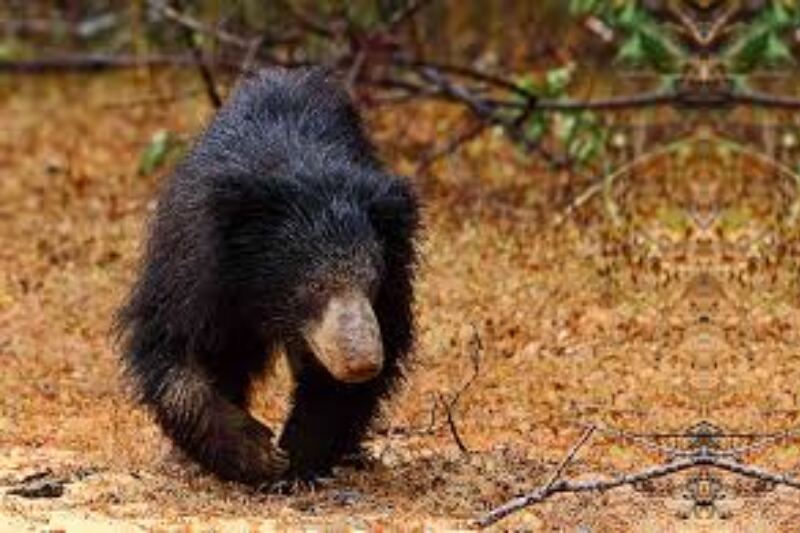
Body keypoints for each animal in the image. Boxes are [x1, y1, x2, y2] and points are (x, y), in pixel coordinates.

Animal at [115, 67, 420, 486]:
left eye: (372, 282)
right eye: (315, 285)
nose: (361, 363)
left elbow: (335, 385)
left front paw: (296, 460)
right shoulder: (197, 271)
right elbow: (174, 349)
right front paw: (256, 454)